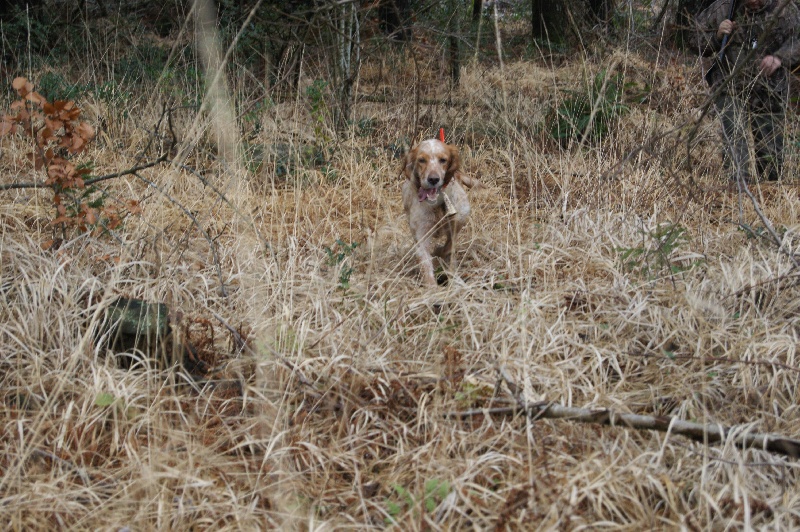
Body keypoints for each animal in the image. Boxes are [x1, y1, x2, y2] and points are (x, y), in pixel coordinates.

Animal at [398, 139, 476, 284]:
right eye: (421, 160)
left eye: (443, 160)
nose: (433, 179)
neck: (437, 204)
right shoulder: (421, 234)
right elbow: (426, 266)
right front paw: (432, 288)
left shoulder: (459, 219)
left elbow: (449, 246)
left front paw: (440, 254)